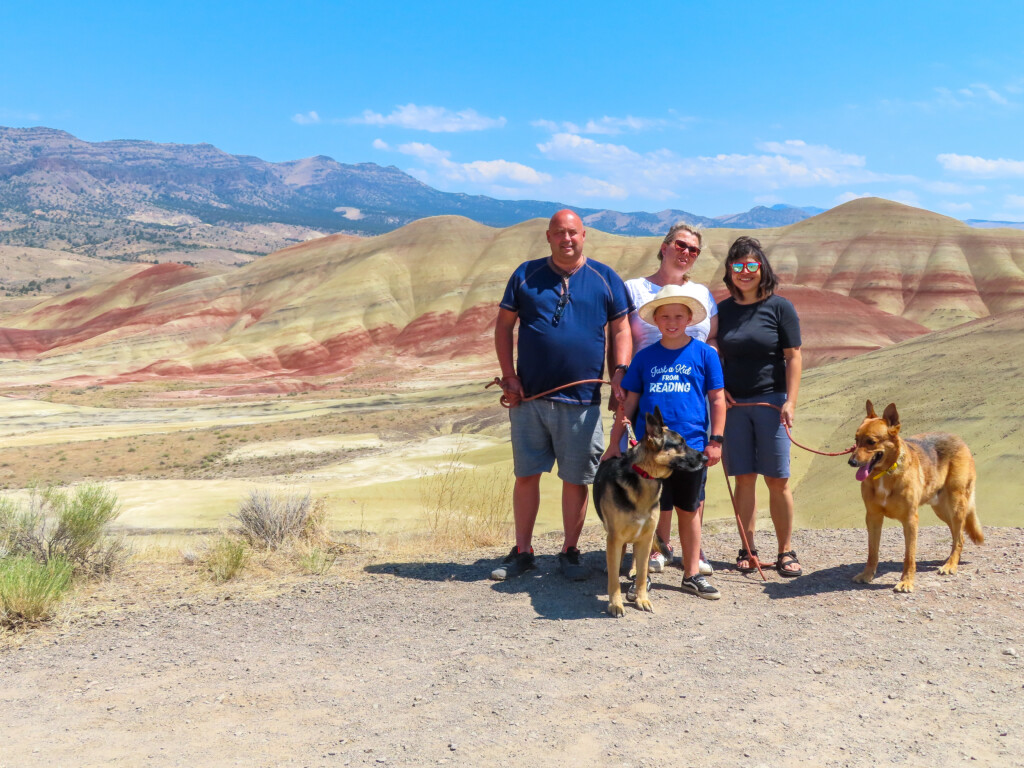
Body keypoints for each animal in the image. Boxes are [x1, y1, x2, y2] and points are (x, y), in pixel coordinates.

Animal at [593, 409, 704, 618]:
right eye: (680, 444)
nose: (705, 458)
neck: (644, 474)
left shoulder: (645, 538)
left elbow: (643, 574)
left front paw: (641, 599)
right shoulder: (615, 537)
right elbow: (614, 578)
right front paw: (615, 604)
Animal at [847, 403, 983, 593]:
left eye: (871, 442)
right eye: (856, 439)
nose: (851, 462)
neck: (886, 473)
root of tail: (959, 439)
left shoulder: (910, 520)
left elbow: (909, 555)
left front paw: (906, 581)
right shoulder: (873, 517)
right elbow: (872, 552)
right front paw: (867, 575)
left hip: (956, 505)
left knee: (958, 538)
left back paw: (950, 565)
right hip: (942, 510)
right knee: (959, 537)